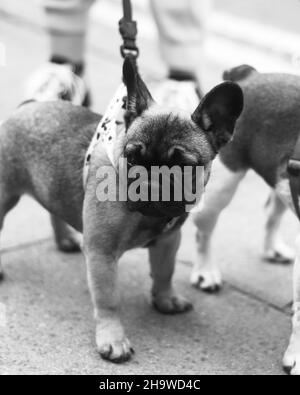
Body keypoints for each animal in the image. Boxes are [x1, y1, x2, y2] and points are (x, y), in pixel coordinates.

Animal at [191, 64, 300, 374]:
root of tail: (250, 75)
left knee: (273, 212)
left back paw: (273, 247)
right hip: (221, 187)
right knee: (204, 231)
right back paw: (206, 272)